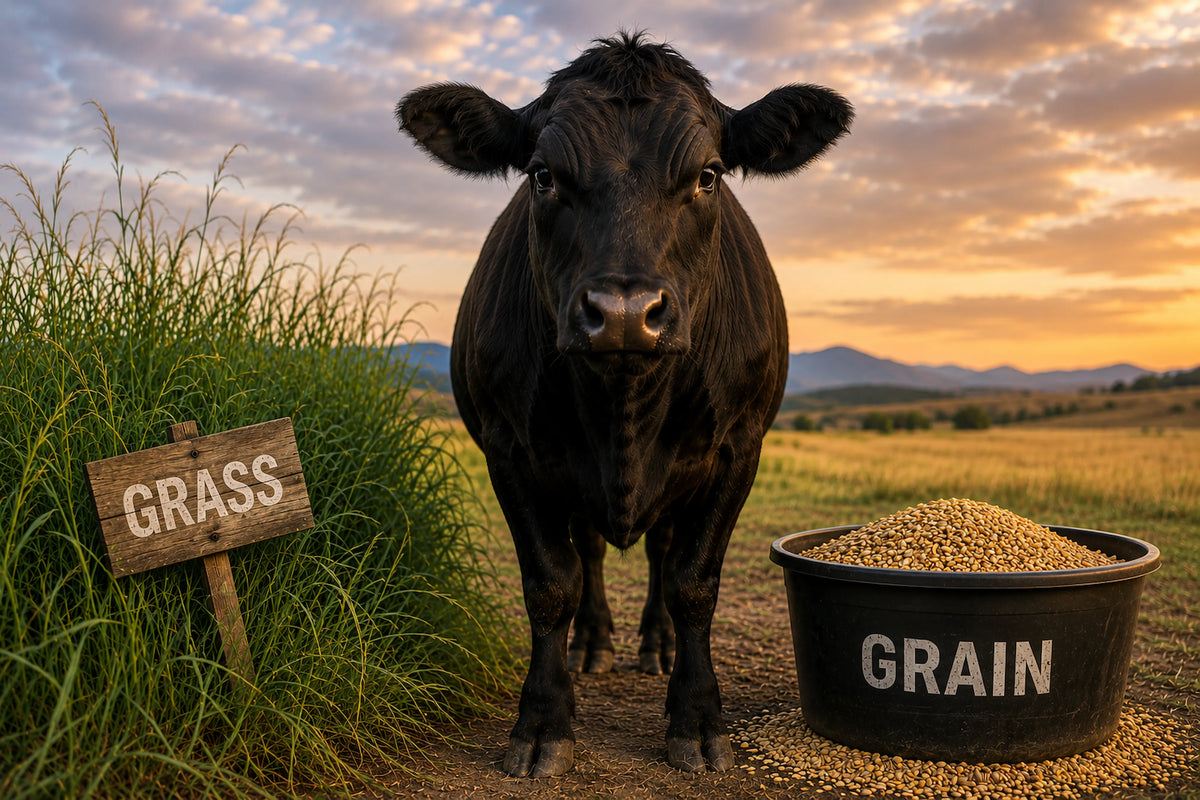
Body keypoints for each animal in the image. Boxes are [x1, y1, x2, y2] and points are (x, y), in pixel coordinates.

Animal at [396, 31, 851, 778]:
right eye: (543, 176)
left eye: (708, 175)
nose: (624, 314)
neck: (625, 407)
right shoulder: (509, 447)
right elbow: (551, 583)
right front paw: (543, 723)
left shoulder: (739, 447)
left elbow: (694, 582)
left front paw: (697, 719)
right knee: (589, 554)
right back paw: (595, 643)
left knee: (662, 554)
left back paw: (656, 646)